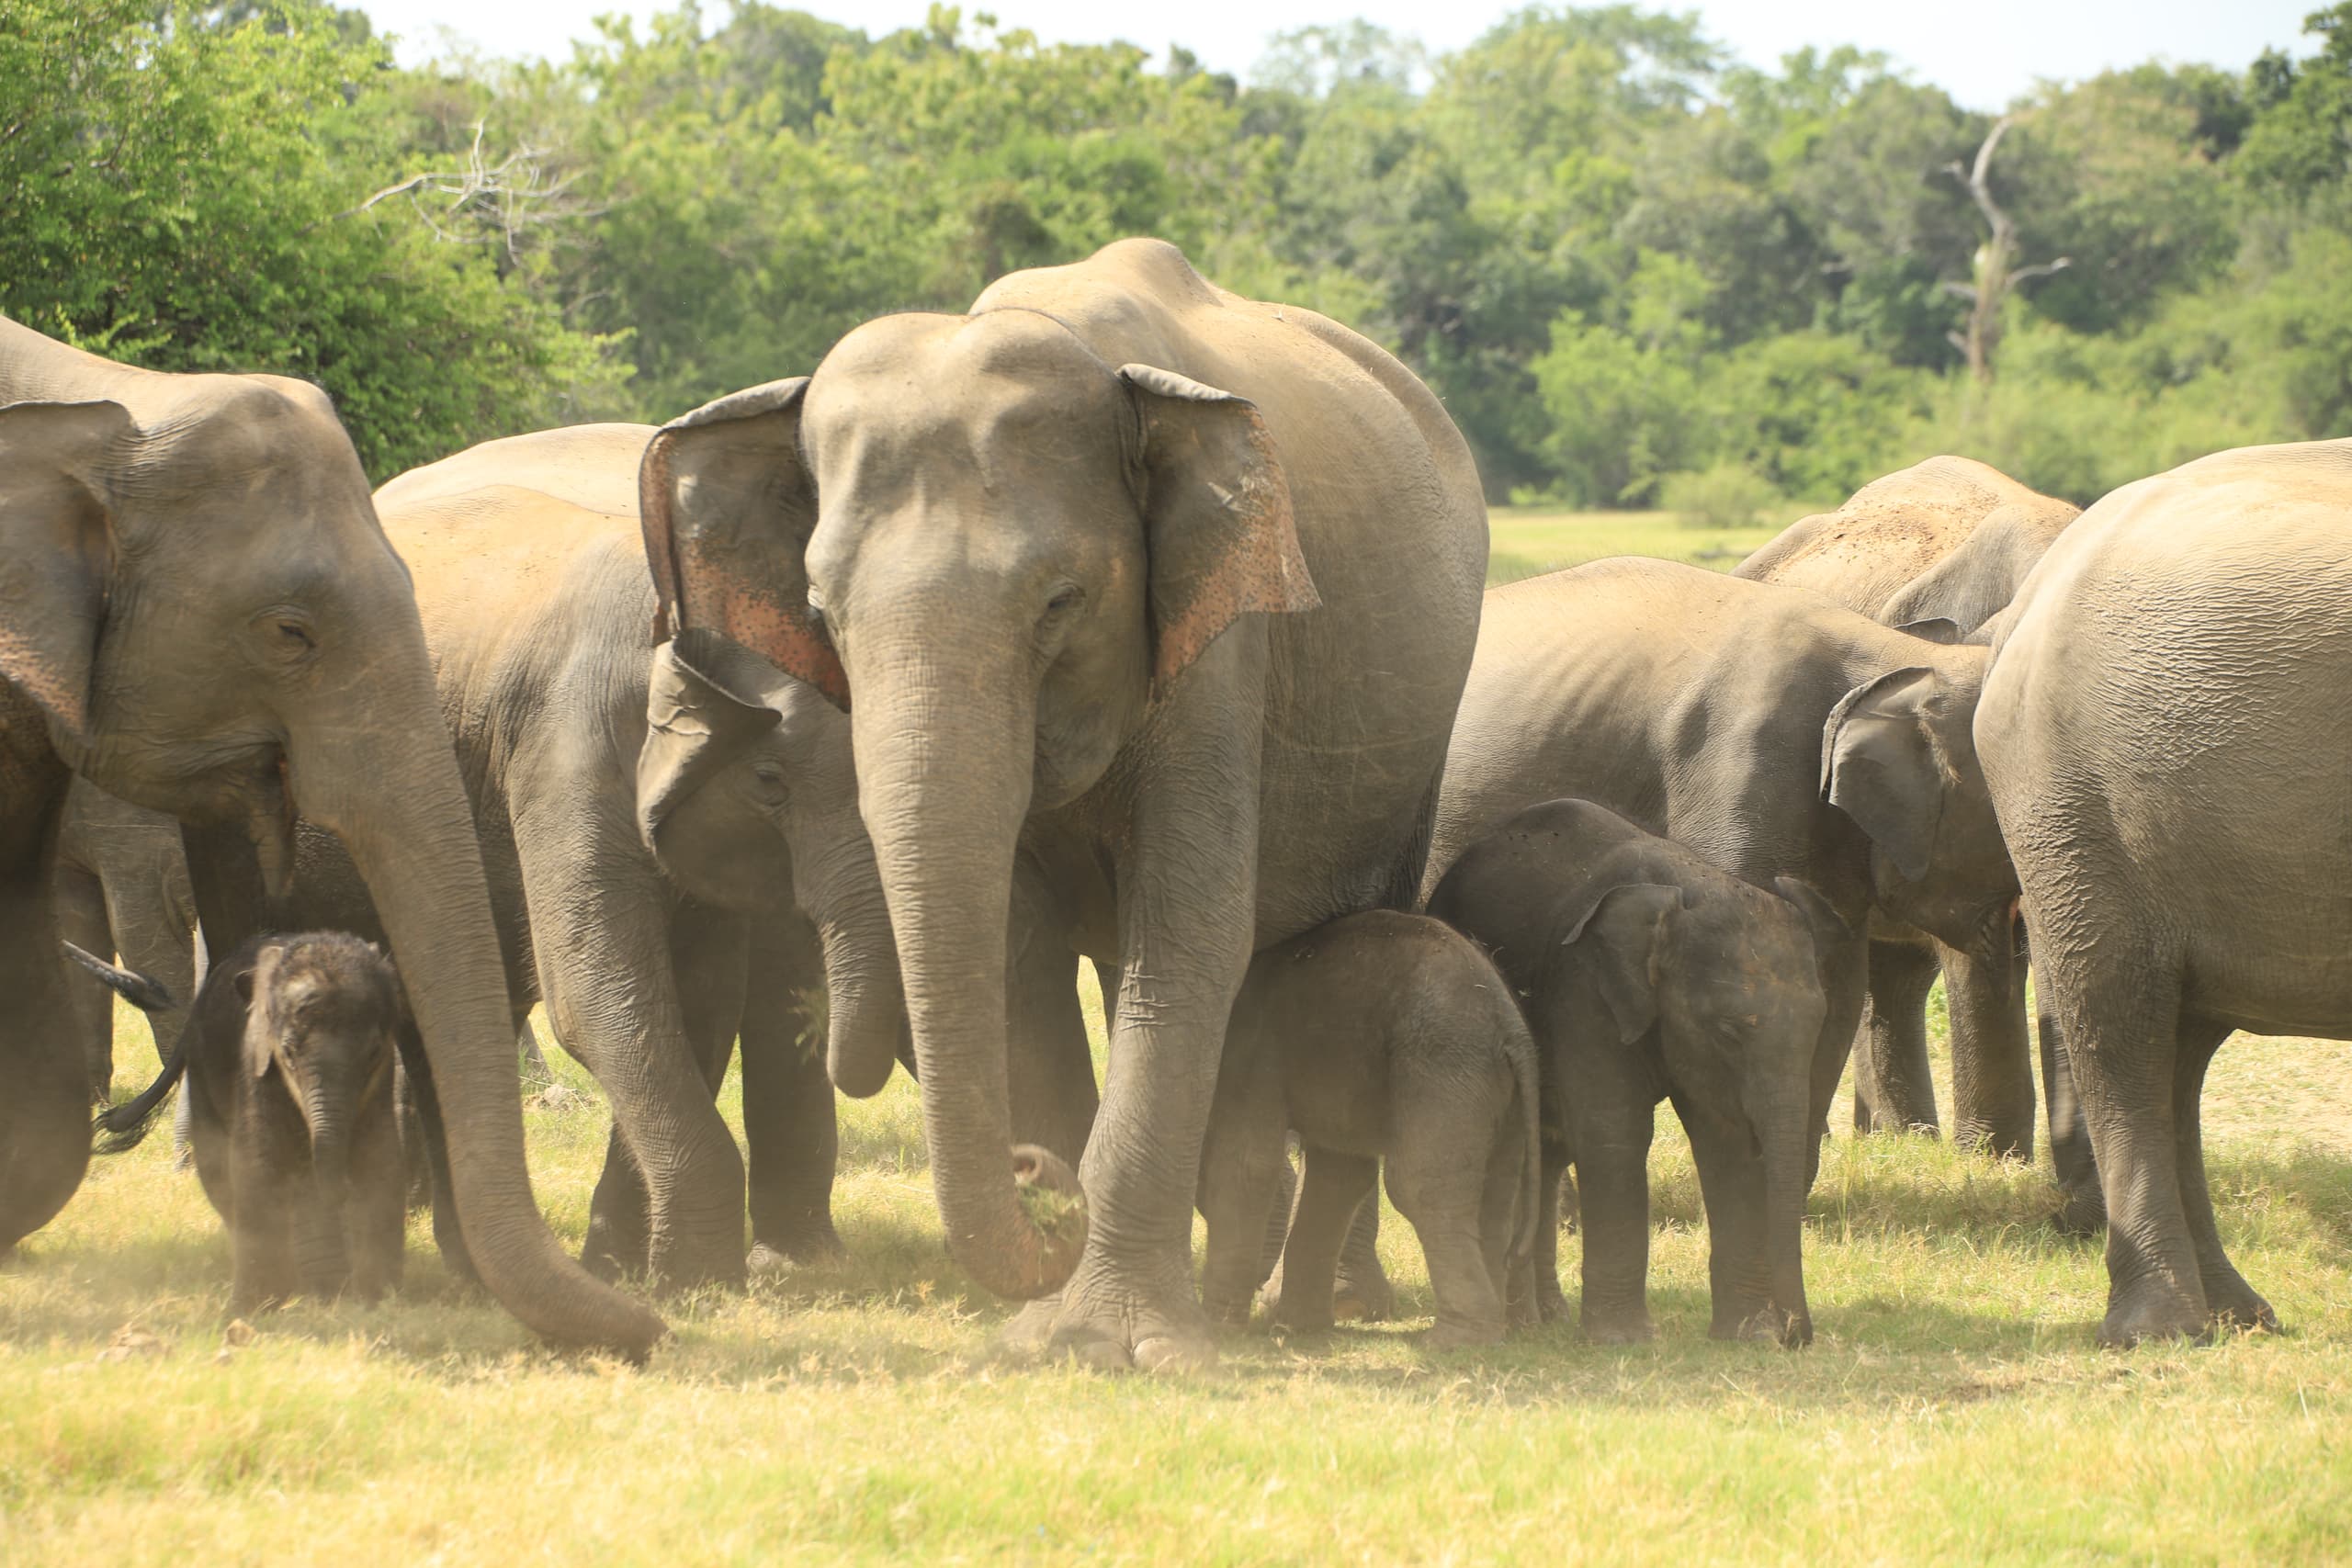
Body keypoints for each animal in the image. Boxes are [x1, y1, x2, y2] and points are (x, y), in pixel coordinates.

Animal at [85, 933, 409, 1309]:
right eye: (288, 1051)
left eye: (374, 1052)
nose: (339, 1192)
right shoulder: (255, 1061)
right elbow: (258, 1162)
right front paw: (255, 1306)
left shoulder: (380, 1083)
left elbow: (382, 1161)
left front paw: (379, 1296)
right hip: (203, 1069)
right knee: (218, 1170)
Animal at [280, 421, 902, 1285]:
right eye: (770, 782)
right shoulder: (563, 744)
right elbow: (595, 989)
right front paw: (692, 1280)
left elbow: (698, 997)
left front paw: (633, 1271)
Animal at [639, 237, 1488, 1368]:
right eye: (820, 610)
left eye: (1060, 601)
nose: (1033, 1171)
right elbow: (1015, 950)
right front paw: (1053, 1329)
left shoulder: (1223, 647)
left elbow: (1190, 929)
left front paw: (1124, 1340)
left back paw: (1333, 1304)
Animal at [1196, 911, 1537, 1348]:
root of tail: (1513, 1029)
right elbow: (1341, 1175)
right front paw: (1298, 1329)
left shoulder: (1253, 1055)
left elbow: (1246, 1164)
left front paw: (1220, 1330)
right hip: (1499, 1096)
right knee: (1495, 1197)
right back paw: (1487, 1334)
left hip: (1443, 1070)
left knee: (1419, 1187)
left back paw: (1451, 1342)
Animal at [1427, 799, 1847, 1347]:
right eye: (1728, 1031)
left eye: (1819, 1024)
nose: (1796, 1337)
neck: (1690, 886)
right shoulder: (1583, 988)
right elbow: (1614, 1131)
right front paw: (1622, 1341)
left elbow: (1727, 1141)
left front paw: (1747, 1338)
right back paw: (1521, 1325)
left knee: (1548, 1153)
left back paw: (1544, 1319)